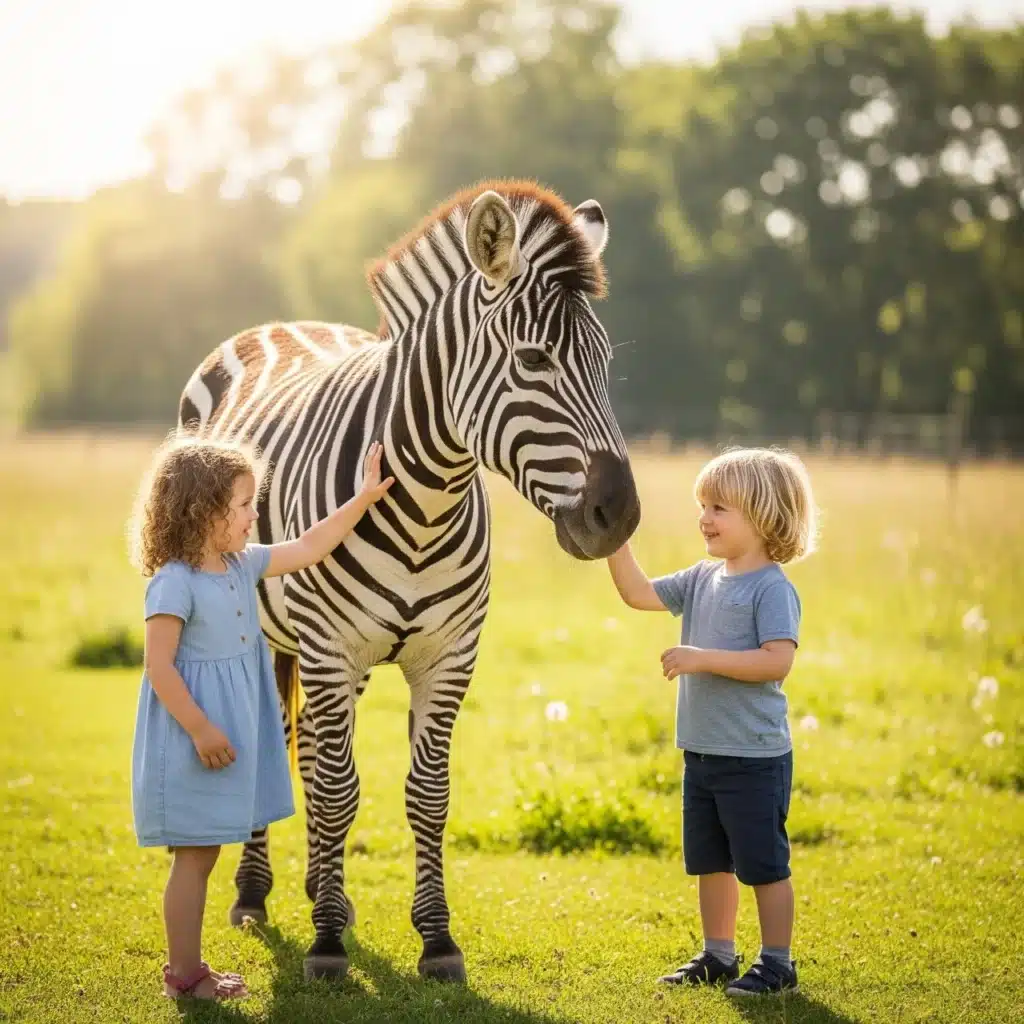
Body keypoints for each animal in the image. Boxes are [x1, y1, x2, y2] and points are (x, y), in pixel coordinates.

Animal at [178, 181, 641, 983]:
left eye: (605, 362)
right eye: (533, 359)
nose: (620, 516)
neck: (427, 498)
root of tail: (283, 324)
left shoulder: (448, 656)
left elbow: (425, 794)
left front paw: (435, 938)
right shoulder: (330, 646)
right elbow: (339, 791)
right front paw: (328, 944)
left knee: (311, 748)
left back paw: (318, 886)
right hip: (284, 635)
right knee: (290, 746)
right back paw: (256, 893)